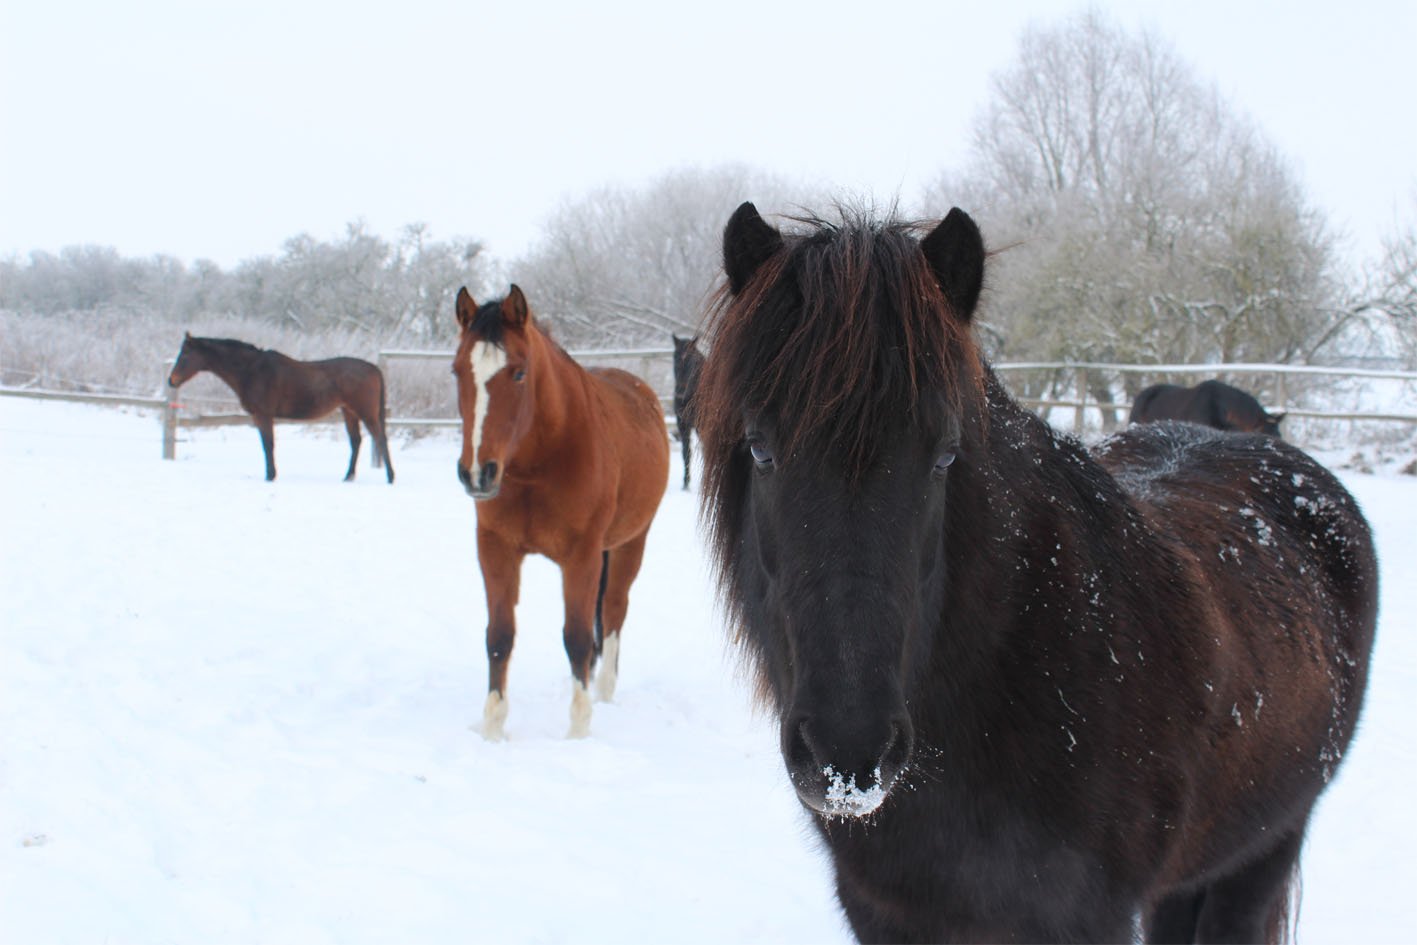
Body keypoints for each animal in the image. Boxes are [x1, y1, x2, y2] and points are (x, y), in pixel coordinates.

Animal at [168, 334, 393, 483]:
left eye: (185, 354)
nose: (171, 381)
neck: (251, 370)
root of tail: (374, 368)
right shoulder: (259, 417)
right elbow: (266, 445)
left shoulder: (264, 415)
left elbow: (268, 445)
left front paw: (270, 476)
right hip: (349, 412)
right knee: (356, 441)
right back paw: (348, 476)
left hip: (366, 413)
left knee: (380, 439)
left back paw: (390, 477)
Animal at [453, 285, 669, 740]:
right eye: (457, 371)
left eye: (518, 373)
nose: (477, 473)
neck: (541, 461)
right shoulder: (495, 550)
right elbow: (499, 636)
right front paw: (493, 729)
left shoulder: (581, 557)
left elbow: (577, 636)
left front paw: (578, 731)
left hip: (630, 544)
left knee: (614, 610)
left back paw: (604, 691)